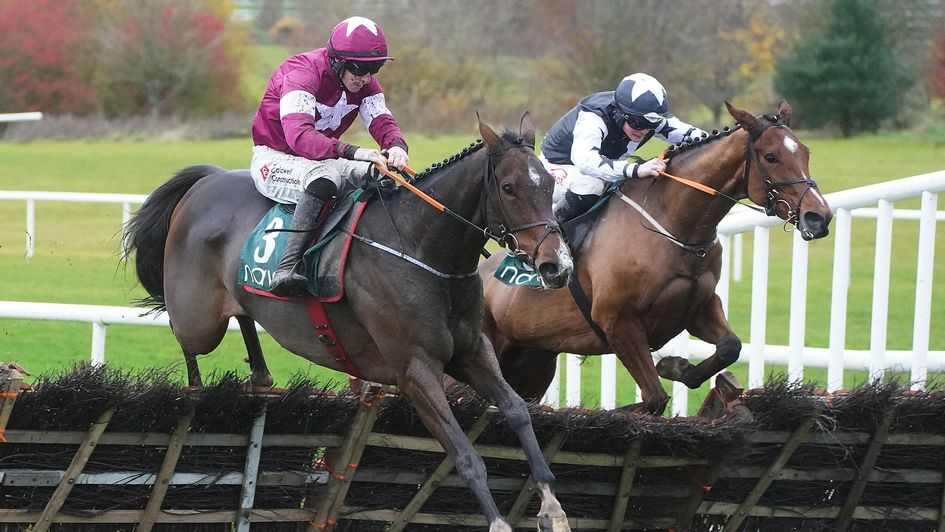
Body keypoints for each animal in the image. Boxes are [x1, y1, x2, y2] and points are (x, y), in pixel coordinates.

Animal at [126, 115, 576, 532]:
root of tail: (207, 180)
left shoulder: (472, 352)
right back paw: (198, 390)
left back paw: (261, 376)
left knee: (243, 318)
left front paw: (552, 507)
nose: (557, 266)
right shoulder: (415, 372)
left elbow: (517, 412)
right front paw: (498, 522)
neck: (421, 248)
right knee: (184, 337)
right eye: (510, 188)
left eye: (549, 186)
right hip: (198, 318)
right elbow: (465, 455)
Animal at [484, 101, 828, 416]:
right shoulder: (618, 322)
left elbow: (730, 347)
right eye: (771, 156)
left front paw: (679, 368)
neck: (673, 226)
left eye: (806, 153)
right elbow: (654, 399)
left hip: (533, 363)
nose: (819, 217)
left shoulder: (698, 307)